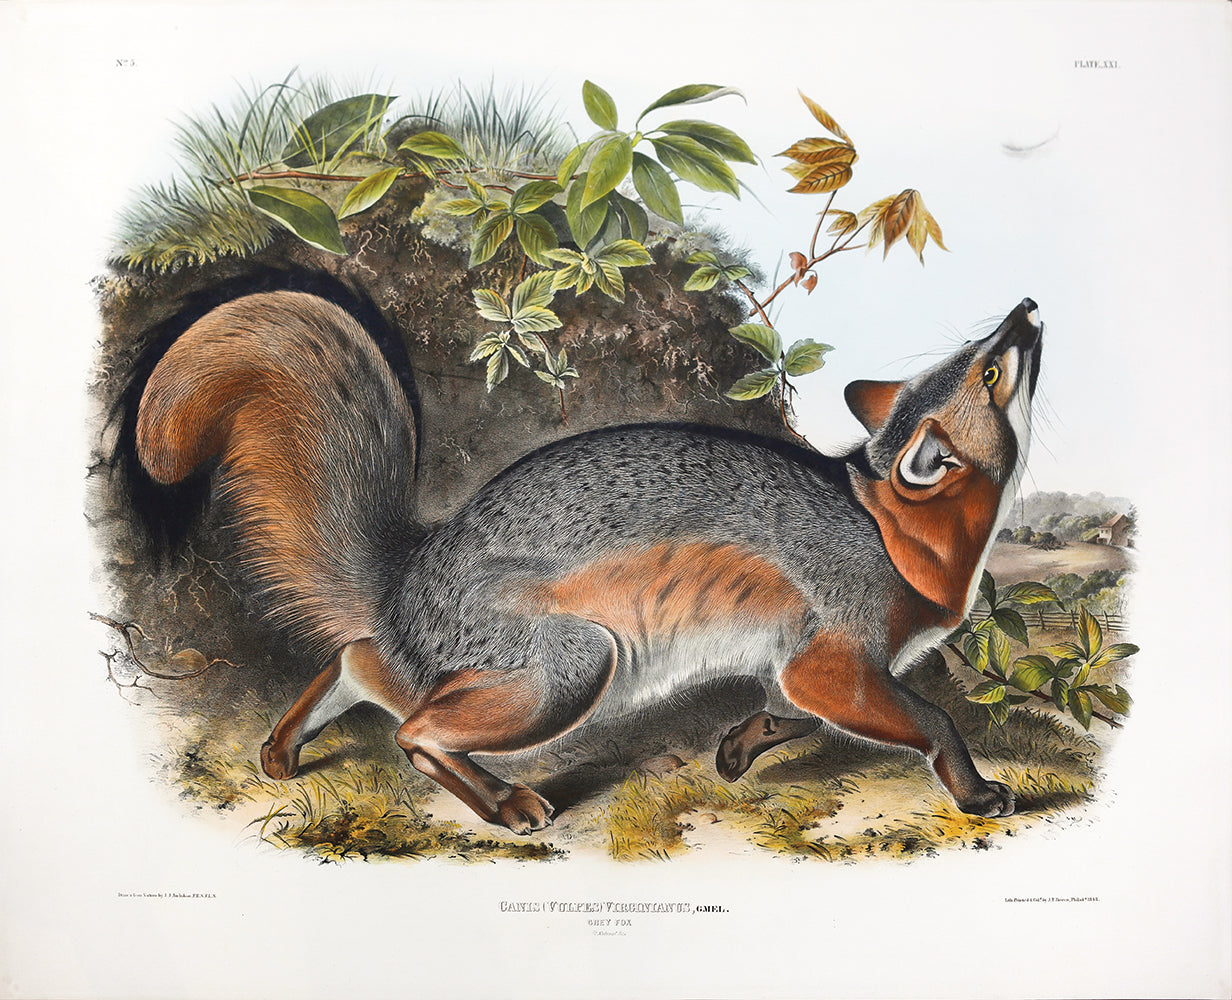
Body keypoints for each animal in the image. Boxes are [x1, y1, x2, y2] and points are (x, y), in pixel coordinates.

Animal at [132, 290, 1042, 834]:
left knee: (359, 659)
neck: (889, 527)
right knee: (415, 728)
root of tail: (416, 565)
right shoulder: (833, 660)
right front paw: (975, 791)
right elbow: (933, 720)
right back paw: (504, 804)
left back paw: (284, 749)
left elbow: (790, 715)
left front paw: (737, 750)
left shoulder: (803, 667)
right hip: (574, 667)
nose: (1028, 306)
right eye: (991, 367)